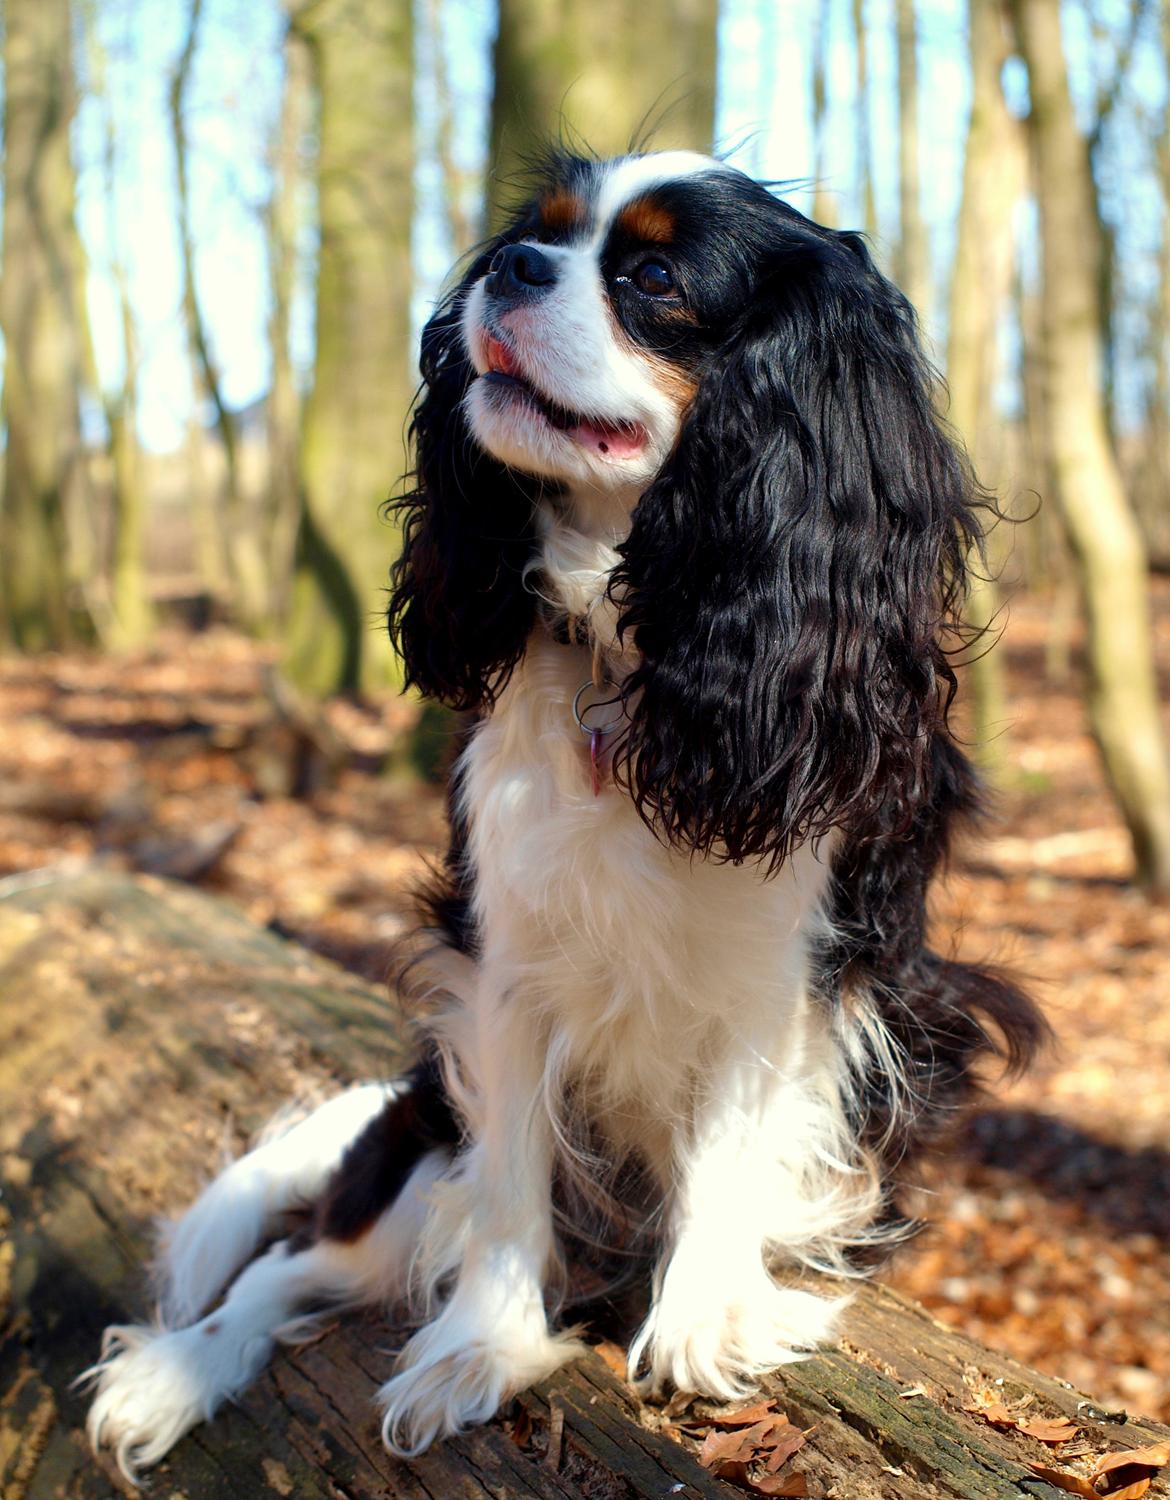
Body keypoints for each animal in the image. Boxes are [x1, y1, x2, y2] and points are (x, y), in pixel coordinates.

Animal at [87, 152, 1044, 1476]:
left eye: (652, 279)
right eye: (533, 239)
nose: (508, 267)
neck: (636, 645)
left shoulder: (783, 978)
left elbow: (727, 1149)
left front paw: (700, 1324)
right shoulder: (506, 964)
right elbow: (509, 1193)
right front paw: (481, 1348)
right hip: (420, 1143)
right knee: (296, 1262)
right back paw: (175, 1373)